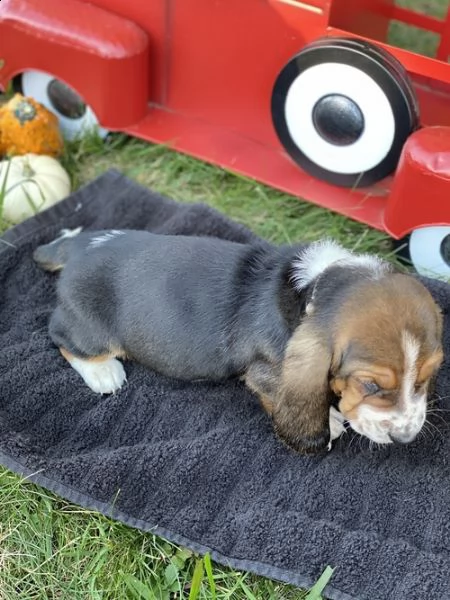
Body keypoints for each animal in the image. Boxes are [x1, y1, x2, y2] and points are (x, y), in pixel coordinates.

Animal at [33, 230, 444, 454]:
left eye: (427, 377)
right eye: (370, 385)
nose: (406, 438)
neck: (311, 289)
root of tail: (83, 247)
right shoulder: (266, 373)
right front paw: (328, 419)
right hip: (91, 330)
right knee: (60, 335)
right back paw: (104, 373)